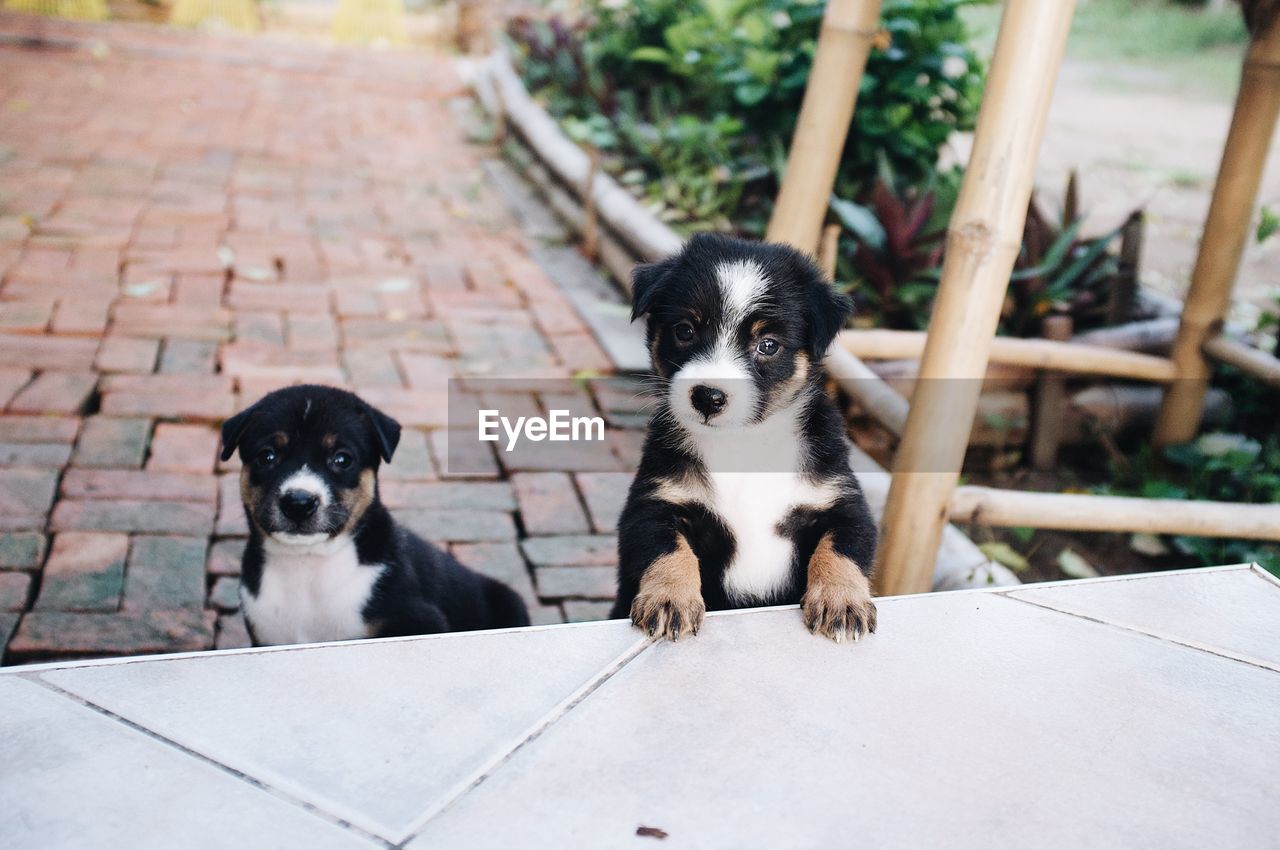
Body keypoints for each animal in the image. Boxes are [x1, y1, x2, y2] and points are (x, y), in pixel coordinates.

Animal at [611, 232, 880, 645]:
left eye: (767, 344)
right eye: (685, 330)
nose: (708, 396)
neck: (743, 443)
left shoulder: (842, 502)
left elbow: (841, 548)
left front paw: (842, 603)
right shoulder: (654, 503)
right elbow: (669, 550)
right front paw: (669, 600)